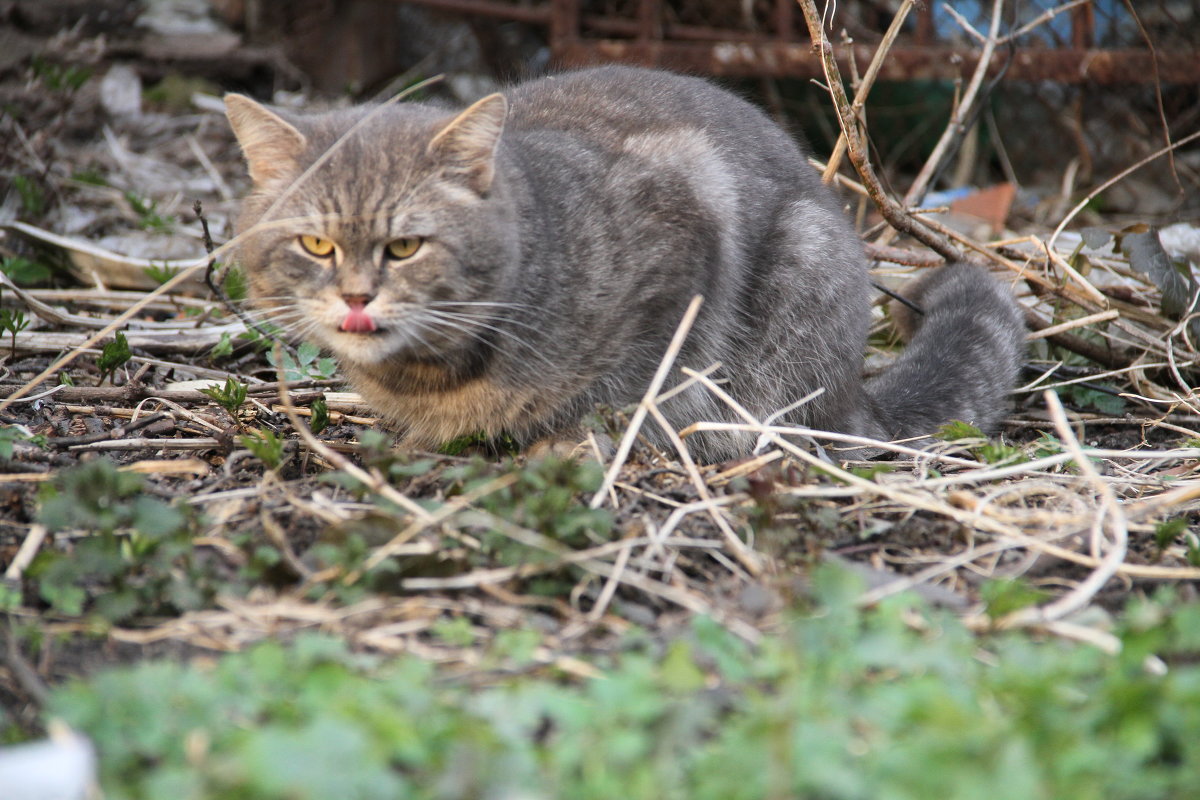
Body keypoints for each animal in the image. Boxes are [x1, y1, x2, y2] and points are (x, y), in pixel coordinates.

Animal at [225, 67, 1022, 462]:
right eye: (316, 245)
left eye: (404, 246)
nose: (356, 299)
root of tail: (857, 392)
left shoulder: (685, 230)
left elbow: (635, 380)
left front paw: (583, 438)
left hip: (803, 274)